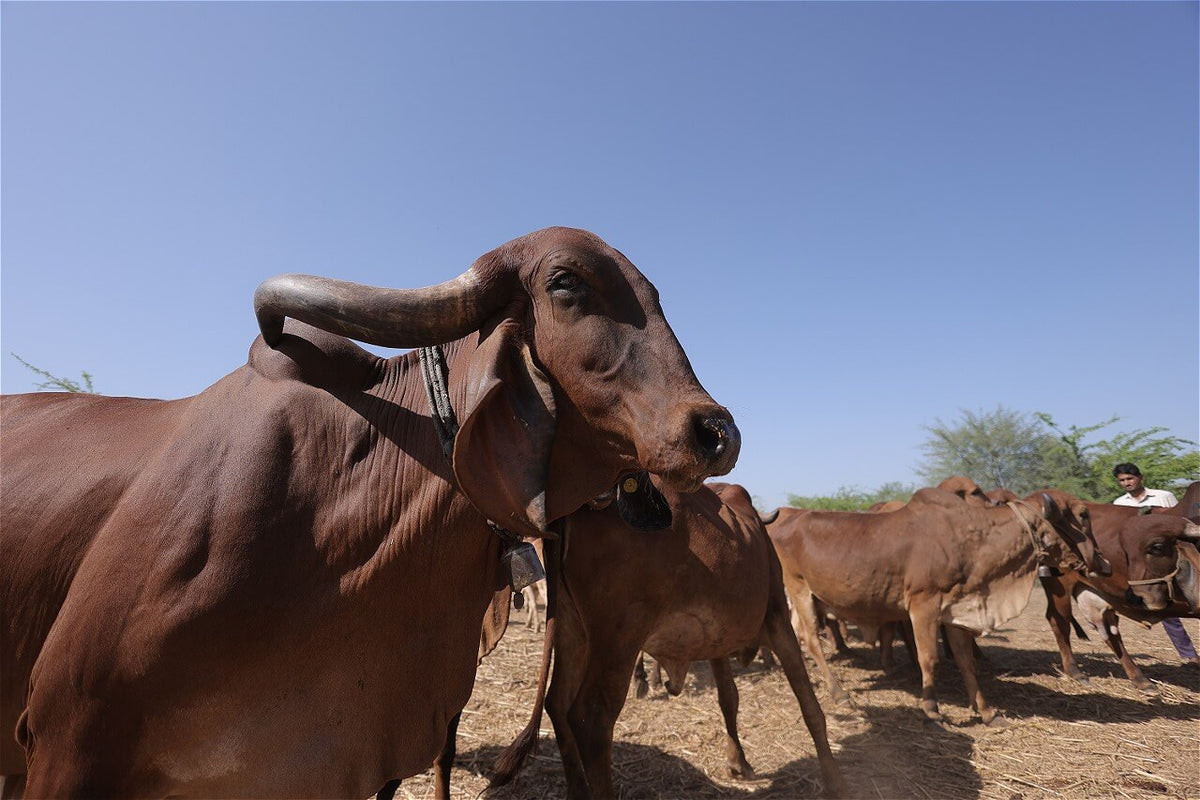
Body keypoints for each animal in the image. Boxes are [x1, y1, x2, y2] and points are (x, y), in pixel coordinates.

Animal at [768, 488, 1110, 725]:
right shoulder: (923, 605)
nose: (1103, 562)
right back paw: (840, 694)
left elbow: (966, 661)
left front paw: (987, 711)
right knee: (811, 639)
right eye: (1082, 514)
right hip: (799, 590)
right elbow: (928, 658)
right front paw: (931, 709)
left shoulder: (955, 611)